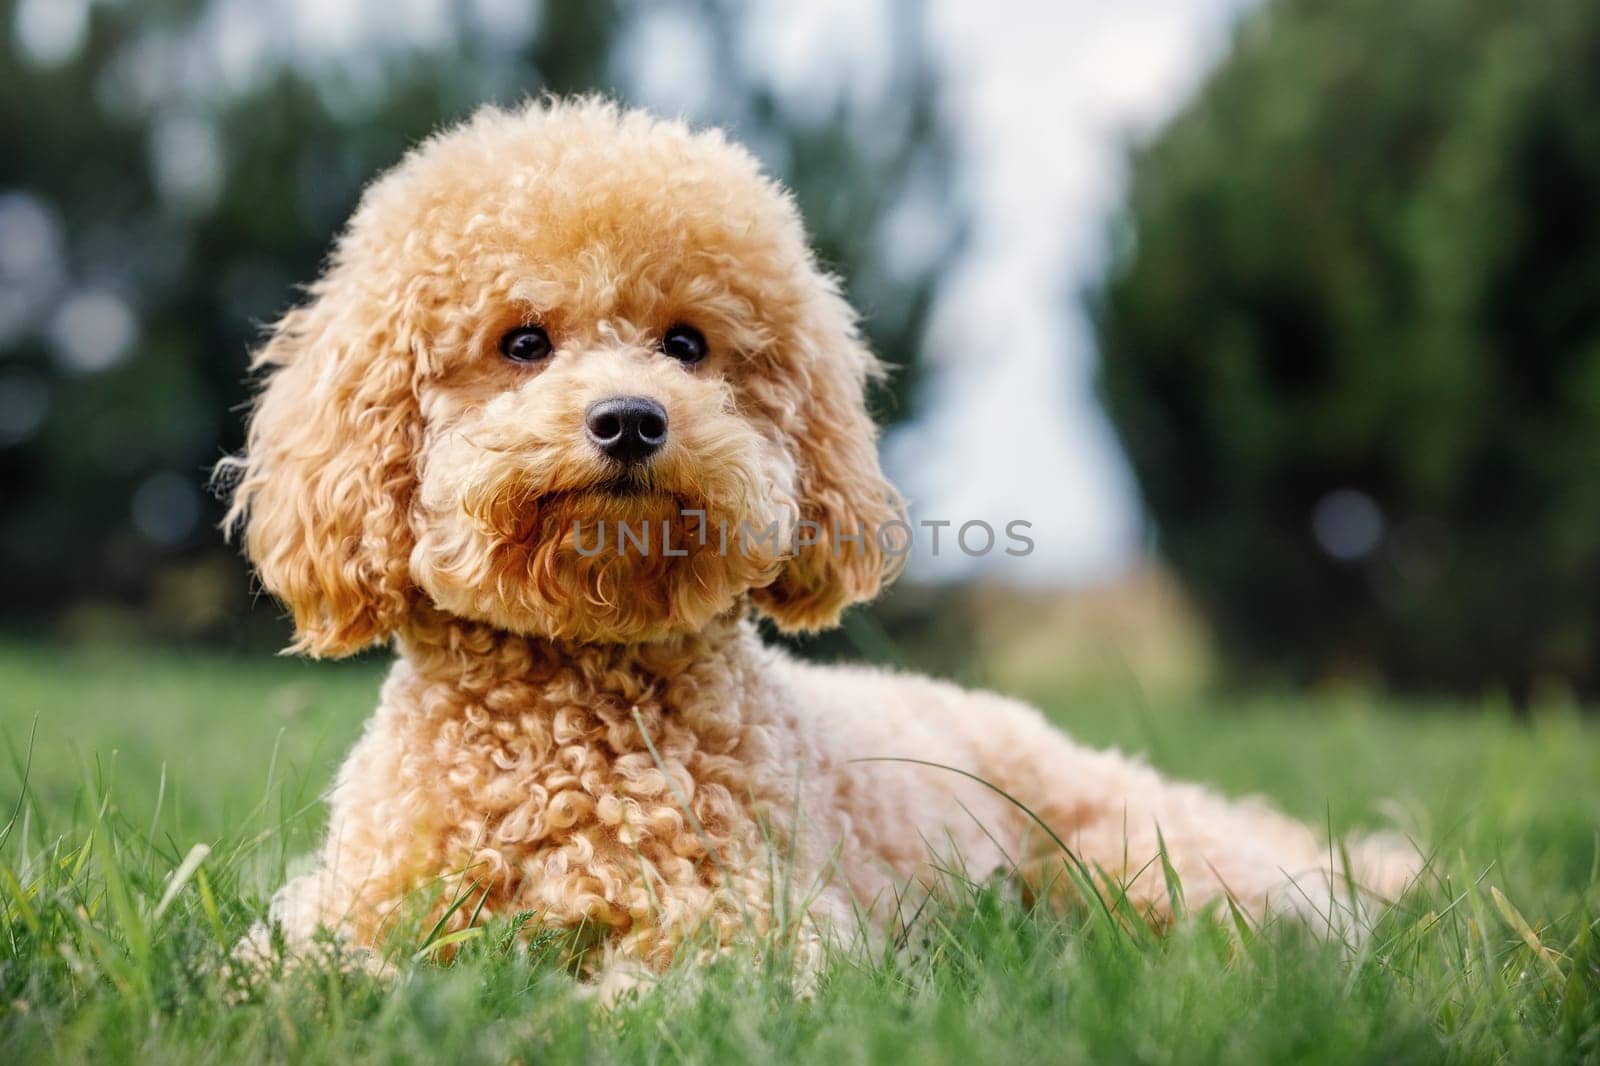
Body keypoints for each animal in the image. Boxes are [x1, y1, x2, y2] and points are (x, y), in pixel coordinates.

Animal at [219, 97, 1420, 979]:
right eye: (522, 342)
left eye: (686, 344)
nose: (630, 419)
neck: (572, 702)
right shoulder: (346, 908)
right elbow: (305, 975)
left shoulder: (753, 929)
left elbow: (643, 1001)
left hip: (1142, 860)